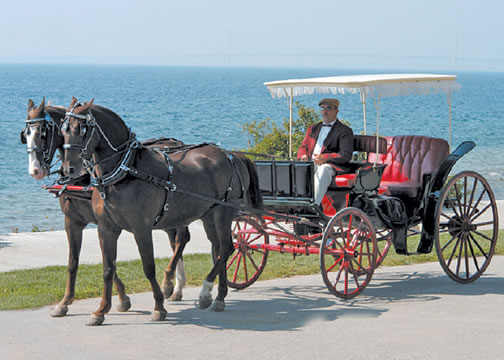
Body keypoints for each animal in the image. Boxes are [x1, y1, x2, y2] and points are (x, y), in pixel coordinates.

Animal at [61, 97, 262, 324]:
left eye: (81, 129)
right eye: (63, 129)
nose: (69, 169)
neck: (125, 171)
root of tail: (231, 154)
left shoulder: (141, 228)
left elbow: (149, 267)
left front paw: (159, 305)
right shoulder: (106, 228)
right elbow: (107, 268)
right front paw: (101, 310)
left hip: (224, 211)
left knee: (227, 248)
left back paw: (205, 291)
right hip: (209, 214)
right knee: (218, 248)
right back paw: (219, 296)